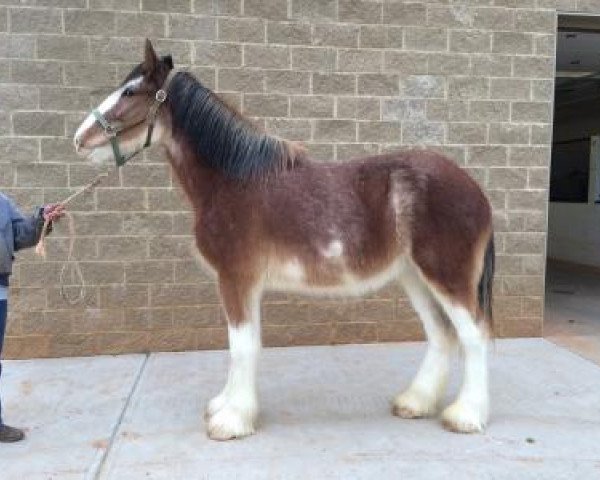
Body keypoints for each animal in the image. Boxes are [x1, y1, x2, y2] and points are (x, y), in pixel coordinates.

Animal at [75, 39, 494, 440]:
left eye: (130, 92)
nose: (79, 138)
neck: (233, 181)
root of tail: (475, 190)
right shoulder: (241, 284)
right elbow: (242, 344)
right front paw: (224, 406)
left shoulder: (236, 279)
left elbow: (242, 346)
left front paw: (231, 421)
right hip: (414, 277)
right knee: (441, 334)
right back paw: (416, 402)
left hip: (446, 277)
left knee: (473, 335)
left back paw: (466, 416)